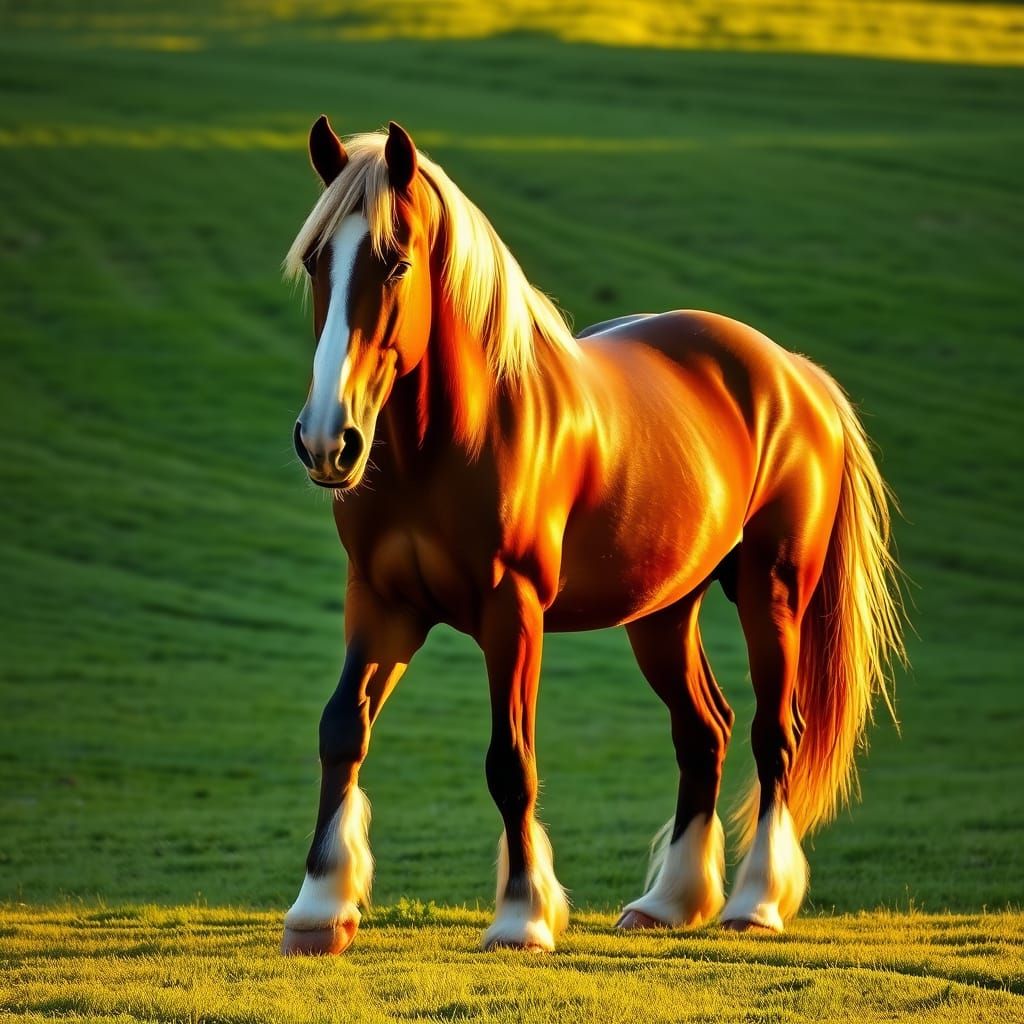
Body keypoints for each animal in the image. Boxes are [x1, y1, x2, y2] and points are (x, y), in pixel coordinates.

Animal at [279, 117, 904, 955]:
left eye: (396, 260)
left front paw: (522, 915)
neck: (448, 442)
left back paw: (754, 902)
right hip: (664, 613)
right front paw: (320, 908)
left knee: (775, 733)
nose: (328, 441)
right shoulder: (382, 605)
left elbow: (510, 761)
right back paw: (669, 902)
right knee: (704, 731)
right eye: (317, 260)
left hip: (771, 592)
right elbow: (342, 729)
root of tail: (795, 374)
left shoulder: (512, 612)